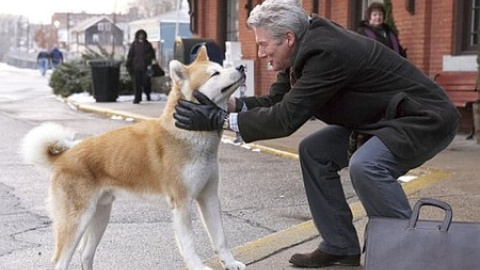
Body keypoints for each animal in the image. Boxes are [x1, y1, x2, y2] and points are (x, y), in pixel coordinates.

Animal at [21, 46, 248, 270]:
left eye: (221, 67)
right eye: (215, 73)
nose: (241, 67)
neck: (188, 133)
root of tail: (64, 156)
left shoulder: (209, 196)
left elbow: (221, 239)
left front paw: (230, 262)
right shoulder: (182, 202)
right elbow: (189, 243)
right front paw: (198, 266)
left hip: (100, 214)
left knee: (85, 253)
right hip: (76, 220)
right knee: (61, 261)